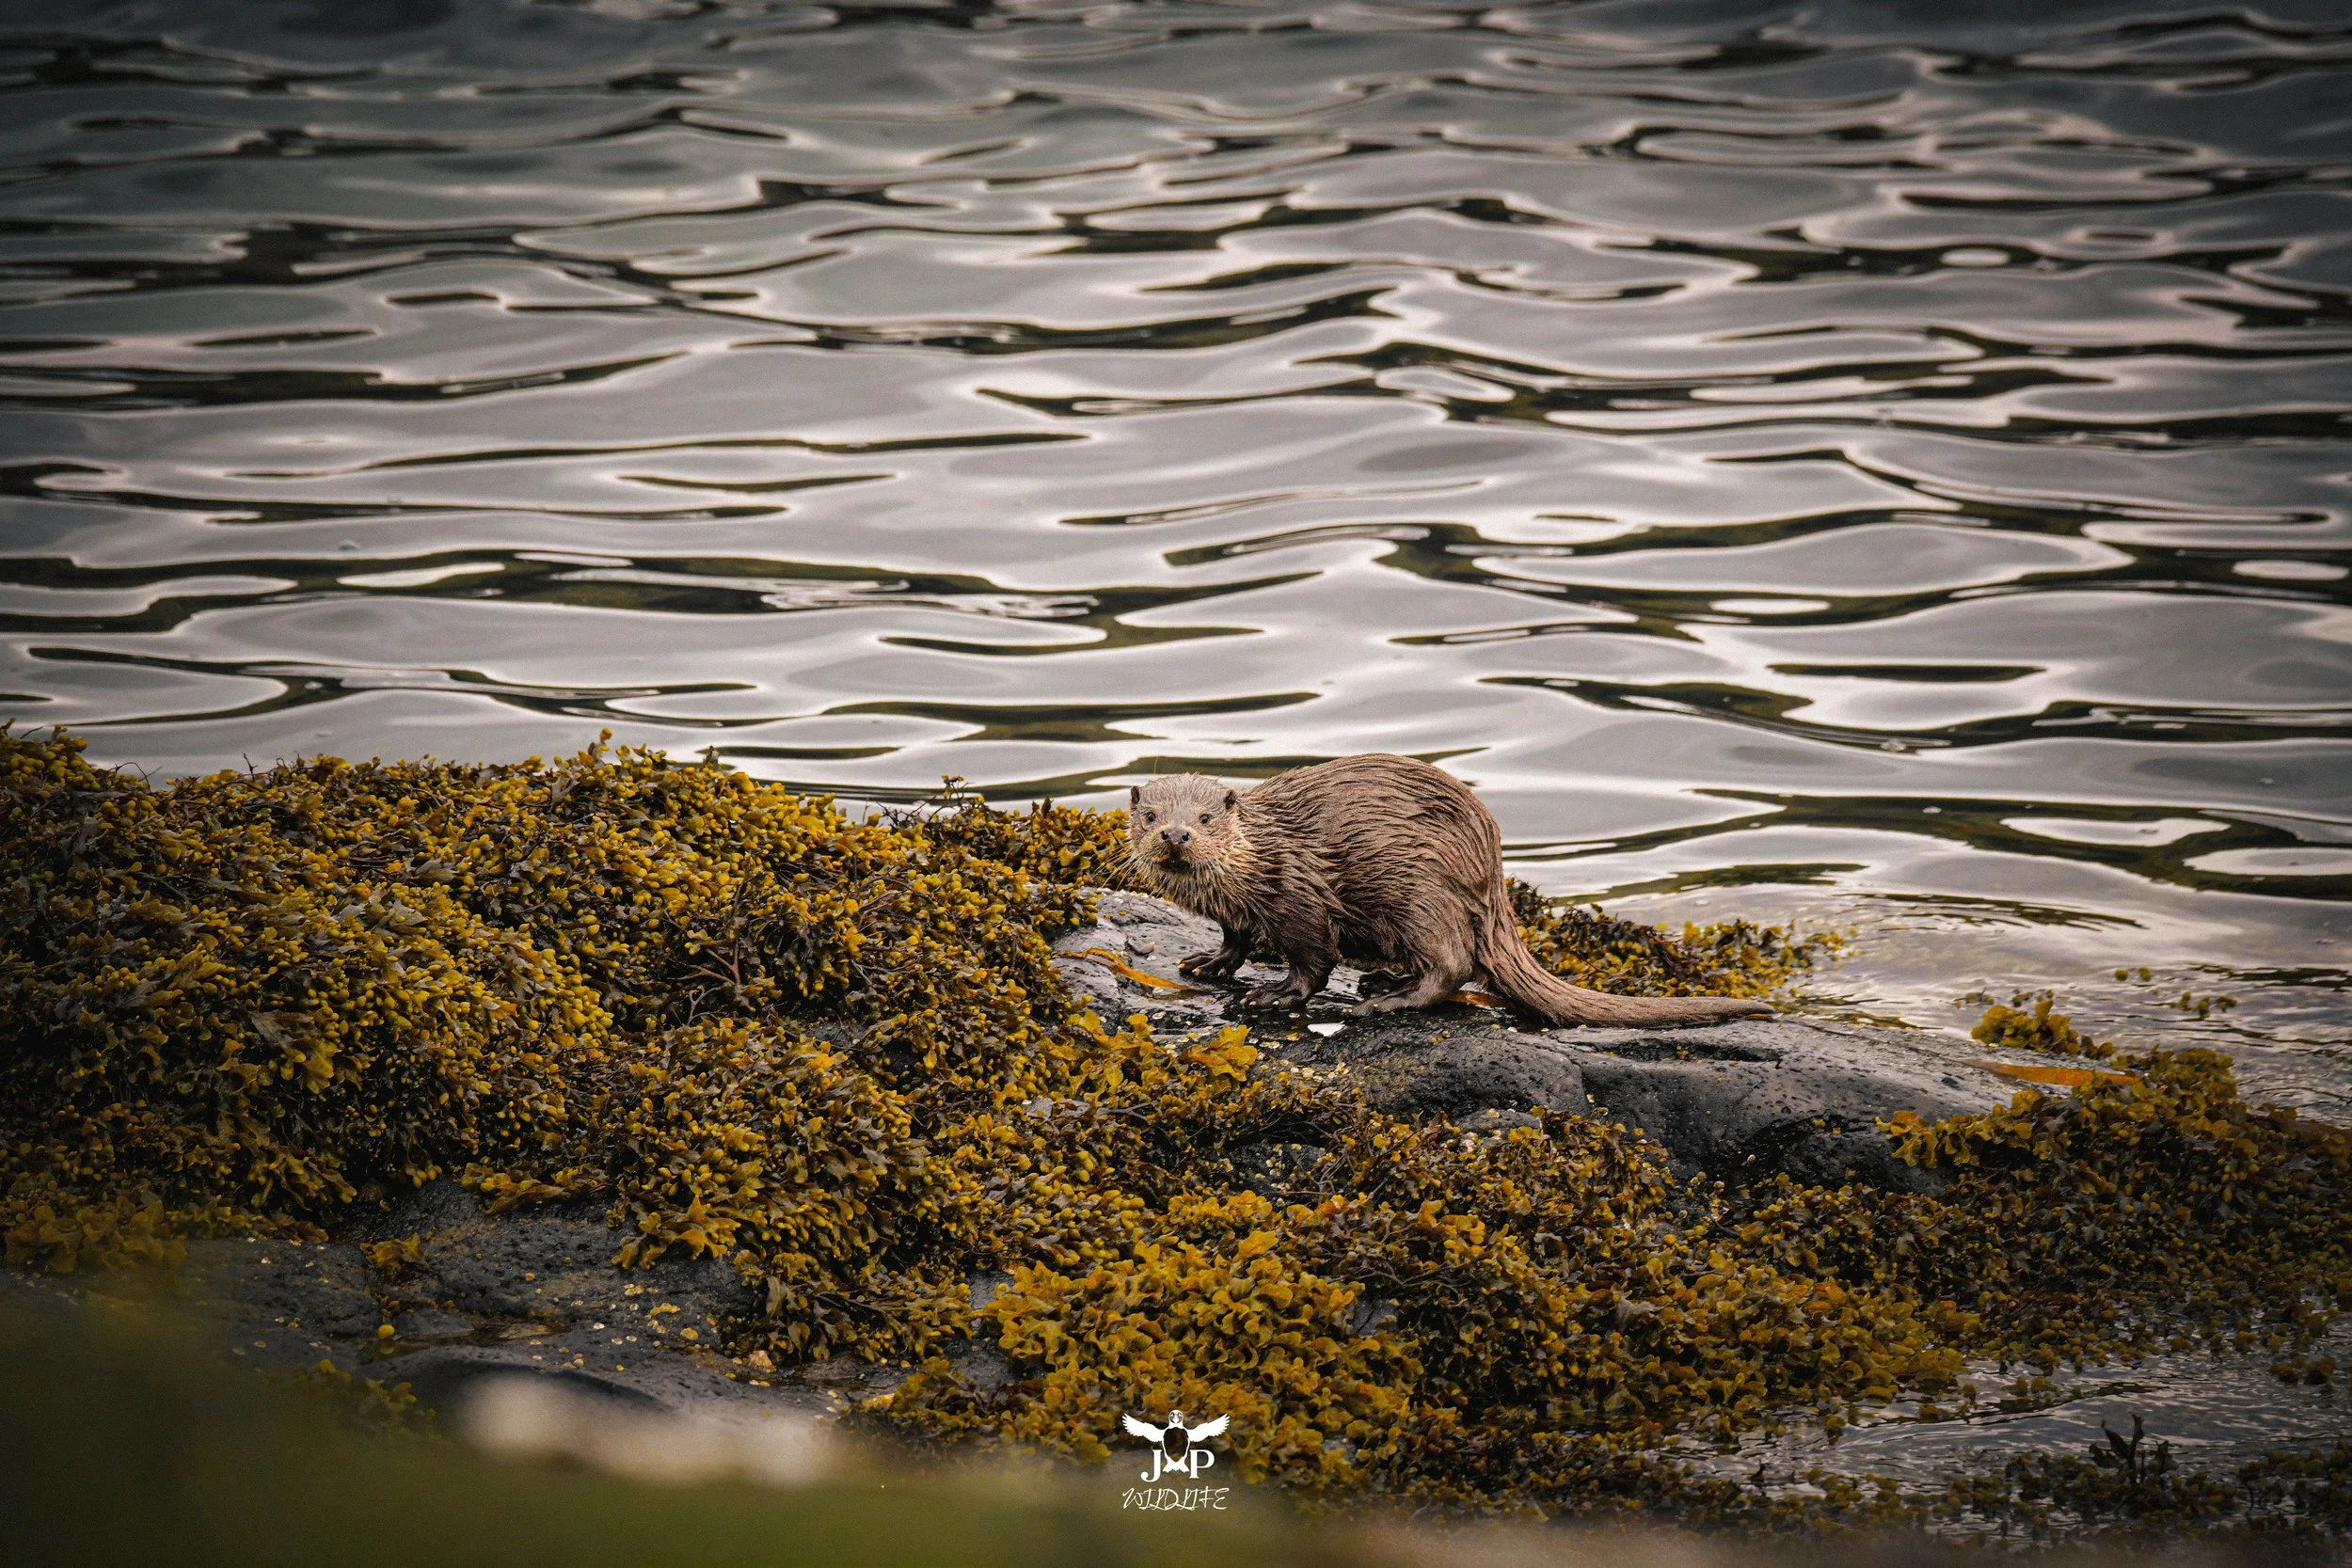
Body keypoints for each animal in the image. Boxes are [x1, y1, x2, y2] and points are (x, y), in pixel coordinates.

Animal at [1126, 754, 1771, 1027]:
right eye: (1151, 814)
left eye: (1207, 818)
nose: (1176, 834)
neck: (1258, 862)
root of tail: (1491, 873)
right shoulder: (1238, 909)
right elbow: (1235, 938)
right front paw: (1209, 963)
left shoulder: (1298, 895)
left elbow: (1313, 960)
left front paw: (1275, 996)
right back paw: (1383, 981)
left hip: (1419, 893)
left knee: (1454, 965)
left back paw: (1384, 1000)